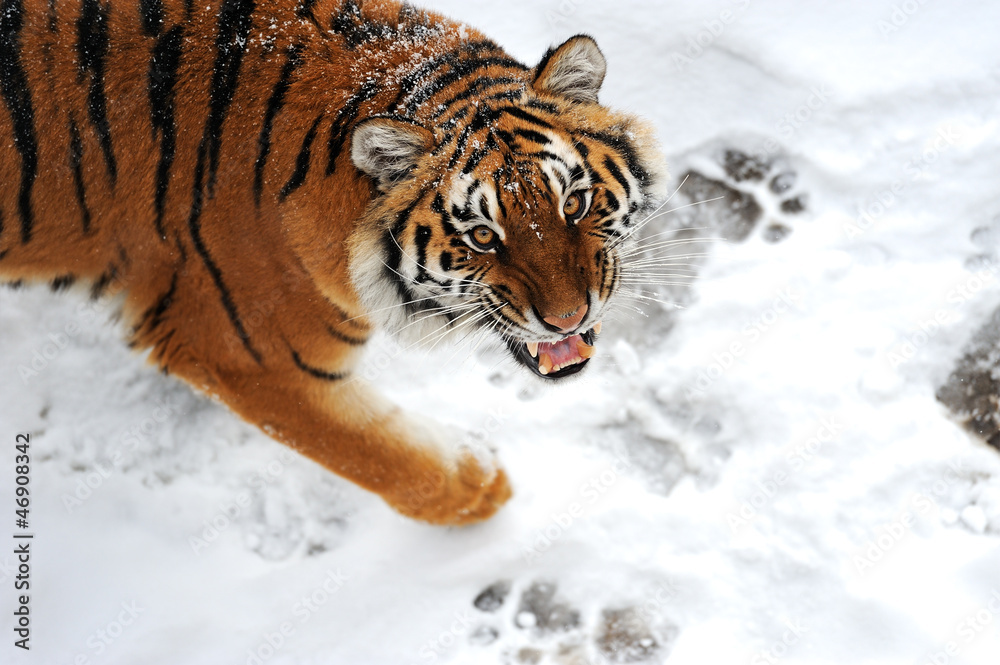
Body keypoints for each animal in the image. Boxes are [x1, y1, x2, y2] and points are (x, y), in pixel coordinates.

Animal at [0, 0, 665, 525]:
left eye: (573, 203)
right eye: (482, 236)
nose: (568, 319)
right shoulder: (243, 350)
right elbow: (376, 451)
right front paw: (481, 490)